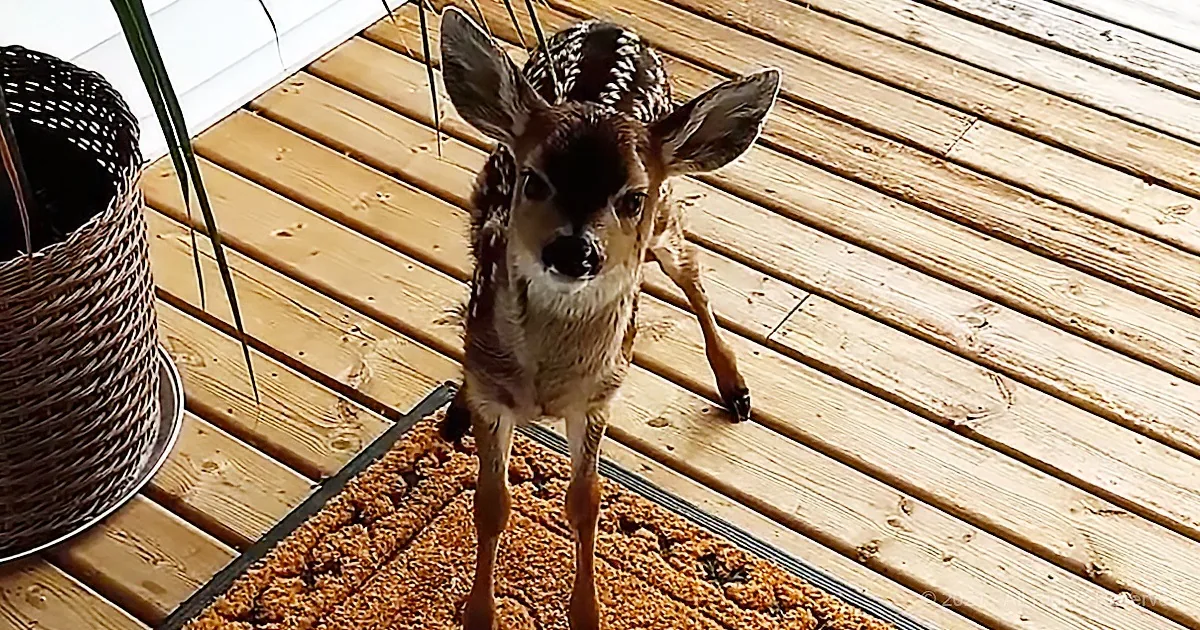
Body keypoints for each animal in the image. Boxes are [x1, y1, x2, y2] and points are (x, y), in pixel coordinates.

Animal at [435, 7, 781, 629]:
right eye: (534, 180)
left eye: (631, 196)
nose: (574, 251)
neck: (547, 384)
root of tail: (607, 23)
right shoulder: (496, 394)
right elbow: (491, 502)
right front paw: (478, 613)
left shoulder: (599, 397)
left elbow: (586, 502)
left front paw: (587, 613)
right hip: (481, 201)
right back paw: (455, 410)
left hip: (666, 221)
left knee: (693, 275)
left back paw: (735, 389)